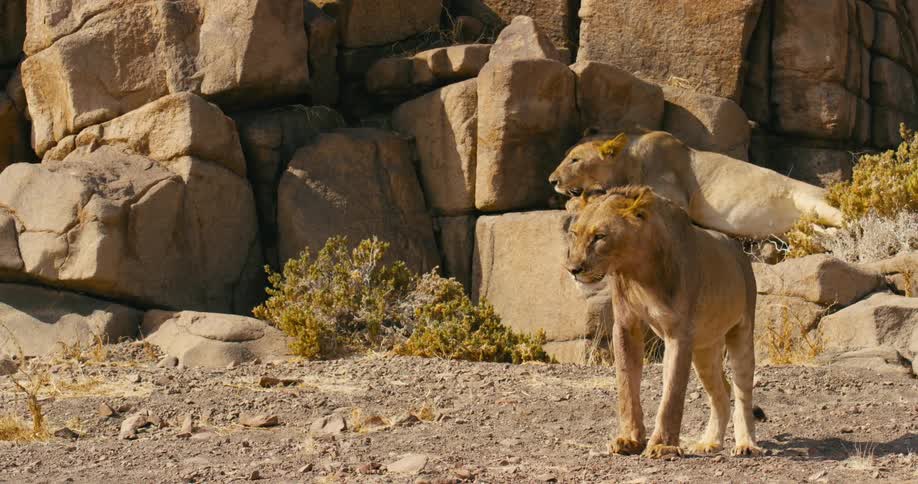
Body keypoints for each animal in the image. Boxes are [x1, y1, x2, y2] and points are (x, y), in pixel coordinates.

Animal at [549, 130, 844, 239]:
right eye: (566, 155)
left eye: (575, 159)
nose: (552, 180)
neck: (630, 162)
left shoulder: (677, 201)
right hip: (799, 226)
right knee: (817, 232)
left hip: (811, 199)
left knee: (847, 218)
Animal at [564, 186, 762, 458]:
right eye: (574, 234)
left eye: (599, 237)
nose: (573, 269)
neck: (639, 270)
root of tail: (738, 249)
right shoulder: (626, 325)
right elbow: (626, 386)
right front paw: (629, 440)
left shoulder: (679, 333)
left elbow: (672, 393)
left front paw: (662, 445)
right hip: (704, 348)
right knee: (721, 391)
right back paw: (710, 442)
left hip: (741, 329)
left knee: (743, 392)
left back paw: (746, 445)